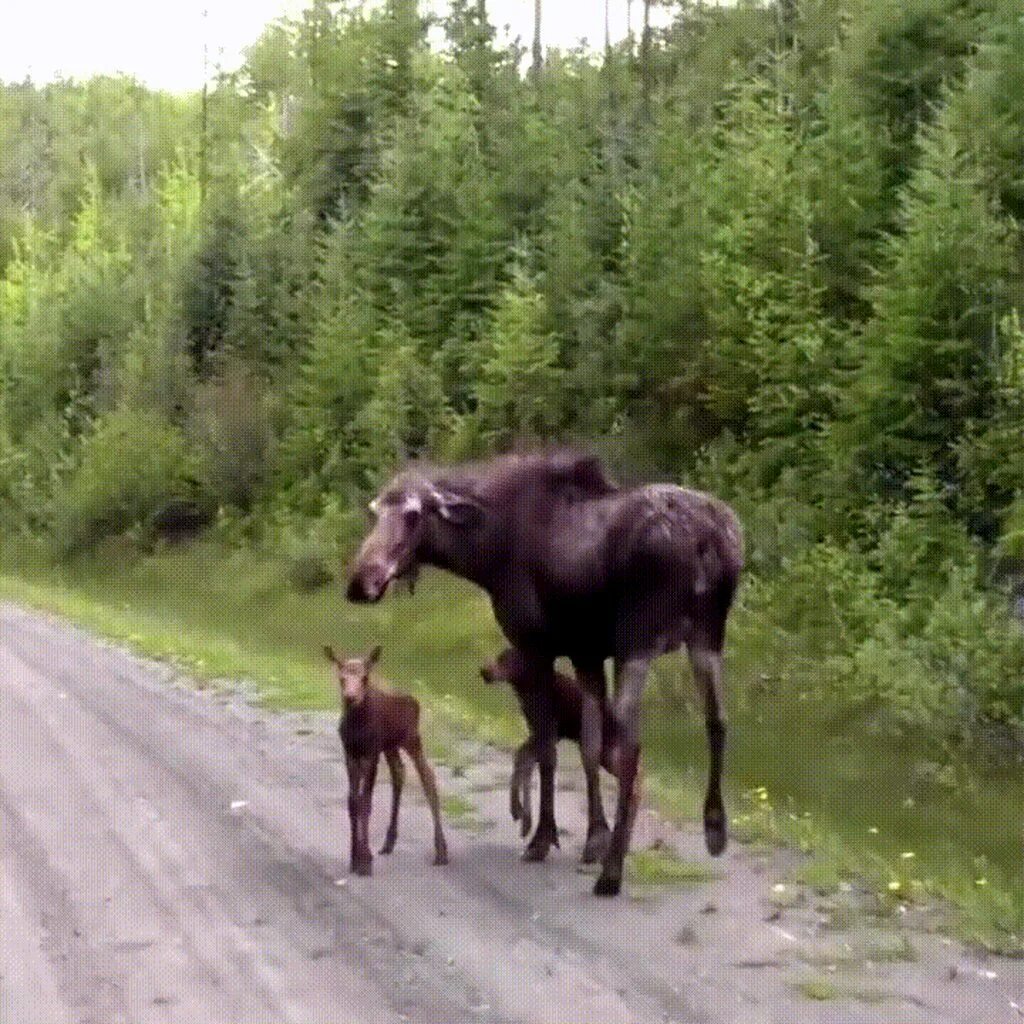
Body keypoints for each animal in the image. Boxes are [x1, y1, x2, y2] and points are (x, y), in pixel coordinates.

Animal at [321, 643, 446, 876]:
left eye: (365, 677)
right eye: (342, 678)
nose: (351, 697)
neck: (357, 728)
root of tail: (415, 701)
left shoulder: (371, 754)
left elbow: (365, 802)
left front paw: (364, 861)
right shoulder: (350, 753)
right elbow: (352, 801)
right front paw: (354, 858)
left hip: (411, 739)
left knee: (428, 778)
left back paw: (441, 851)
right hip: (390, 746)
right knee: (399, 772)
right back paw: (389, 842)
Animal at [479, 647, 638, 839]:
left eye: (505, 660)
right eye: (498, 658)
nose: (484, 671)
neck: (526, 688)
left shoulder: (549, 733)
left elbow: (524, 761)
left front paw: (523, 816)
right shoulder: (541, 733)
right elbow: (521, 759)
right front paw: (520, 813)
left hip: (607, 754)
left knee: (636, 782)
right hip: (603, 755)